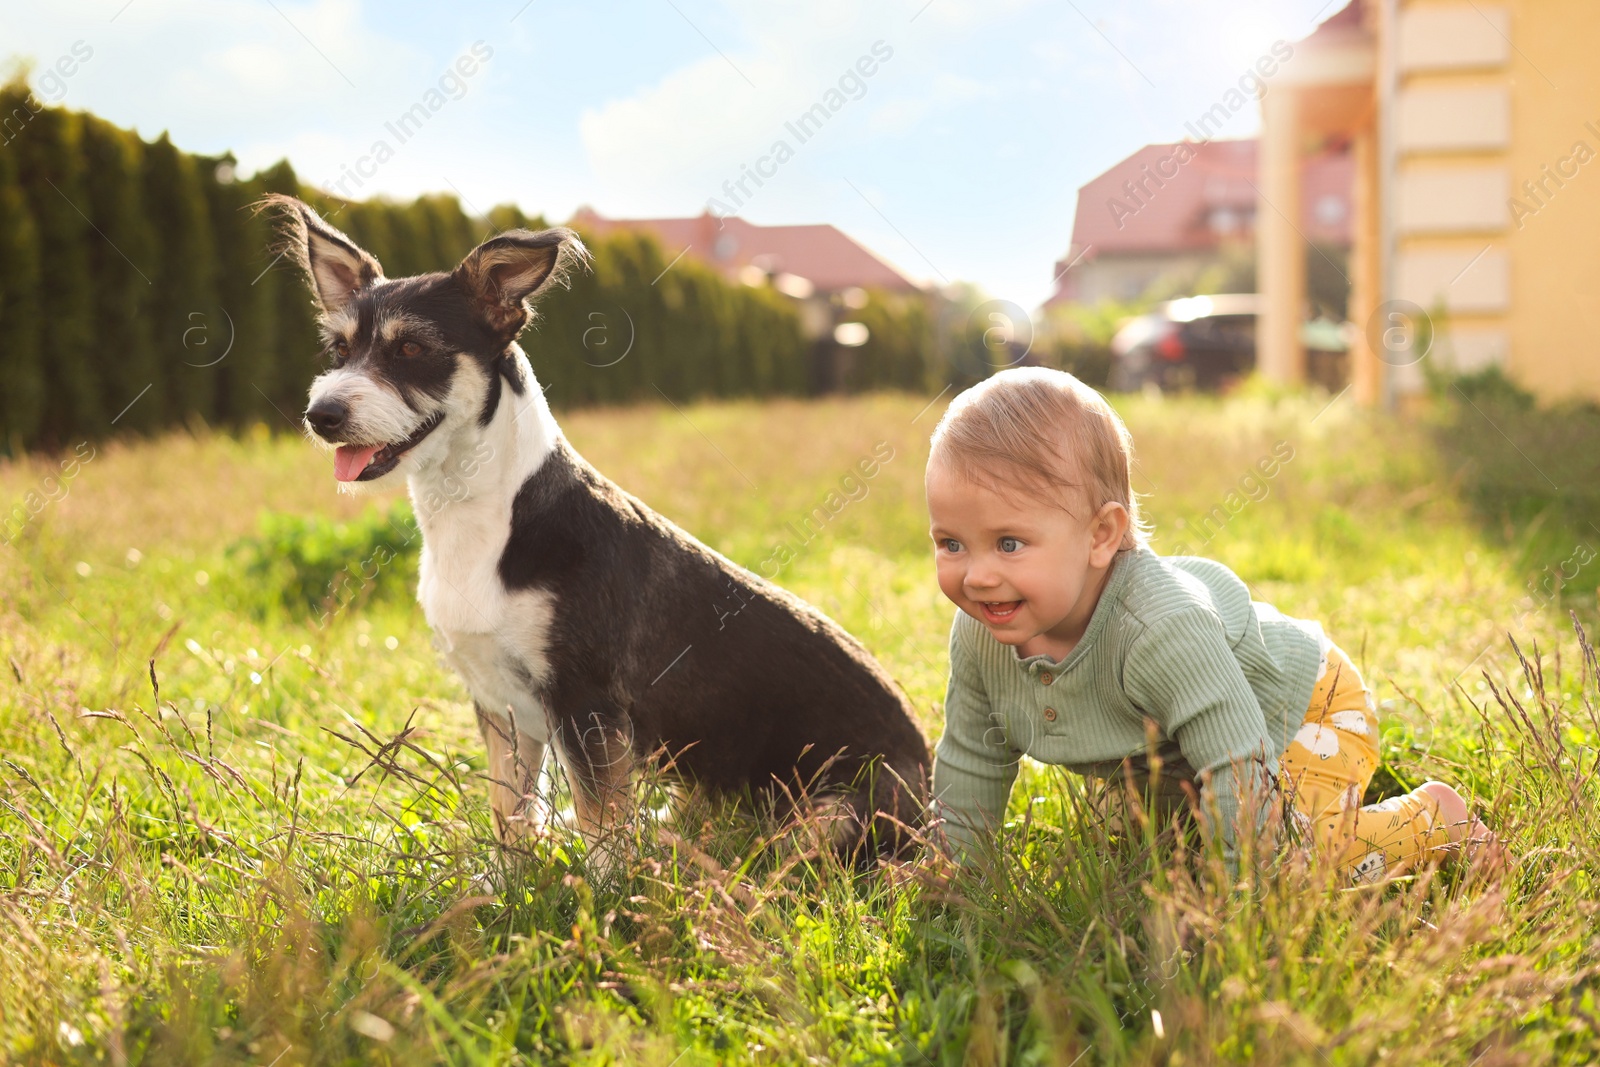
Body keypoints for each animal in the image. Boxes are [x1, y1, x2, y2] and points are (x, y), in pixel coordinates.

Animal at [268, 198, 934, 870]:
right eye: (338, 349)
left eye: (409, 348)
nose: (321, 416)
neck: (487, 519)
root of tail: (933, 787)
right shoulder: (502, 706)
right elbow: (511, 811)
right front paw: (507, 880)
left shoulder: (585, 704)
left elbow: (601, 824)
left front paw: (600, 886)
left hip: (832, 816)